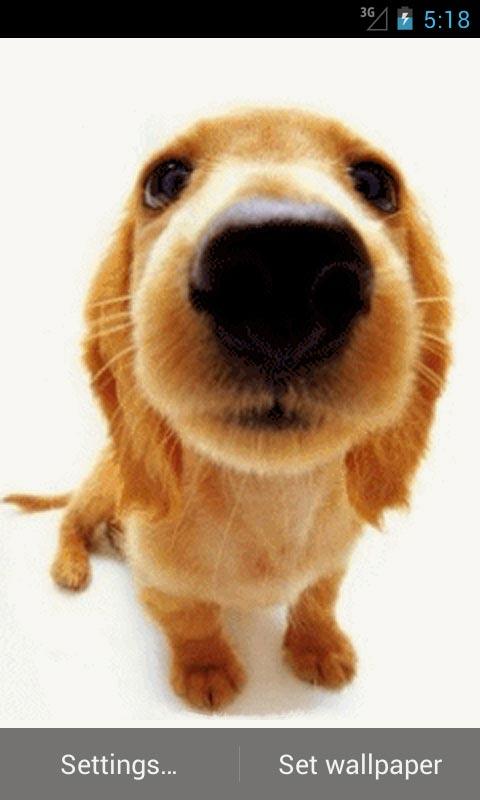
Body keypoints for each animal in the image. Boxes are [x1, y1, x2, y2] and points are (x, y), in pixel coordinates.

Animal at [6, 108, 451, 710]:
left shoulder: (333, 561)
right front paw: (207, 670)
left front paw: (319, 647)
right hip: (103, 486)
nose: (286, 261)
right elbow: (191, 619)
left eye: (375, 183)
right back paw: (71, 564)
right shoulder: (162, 584)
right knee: (70, 521)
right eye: (164, 180)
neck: (271, 495)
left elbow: (317, 597)